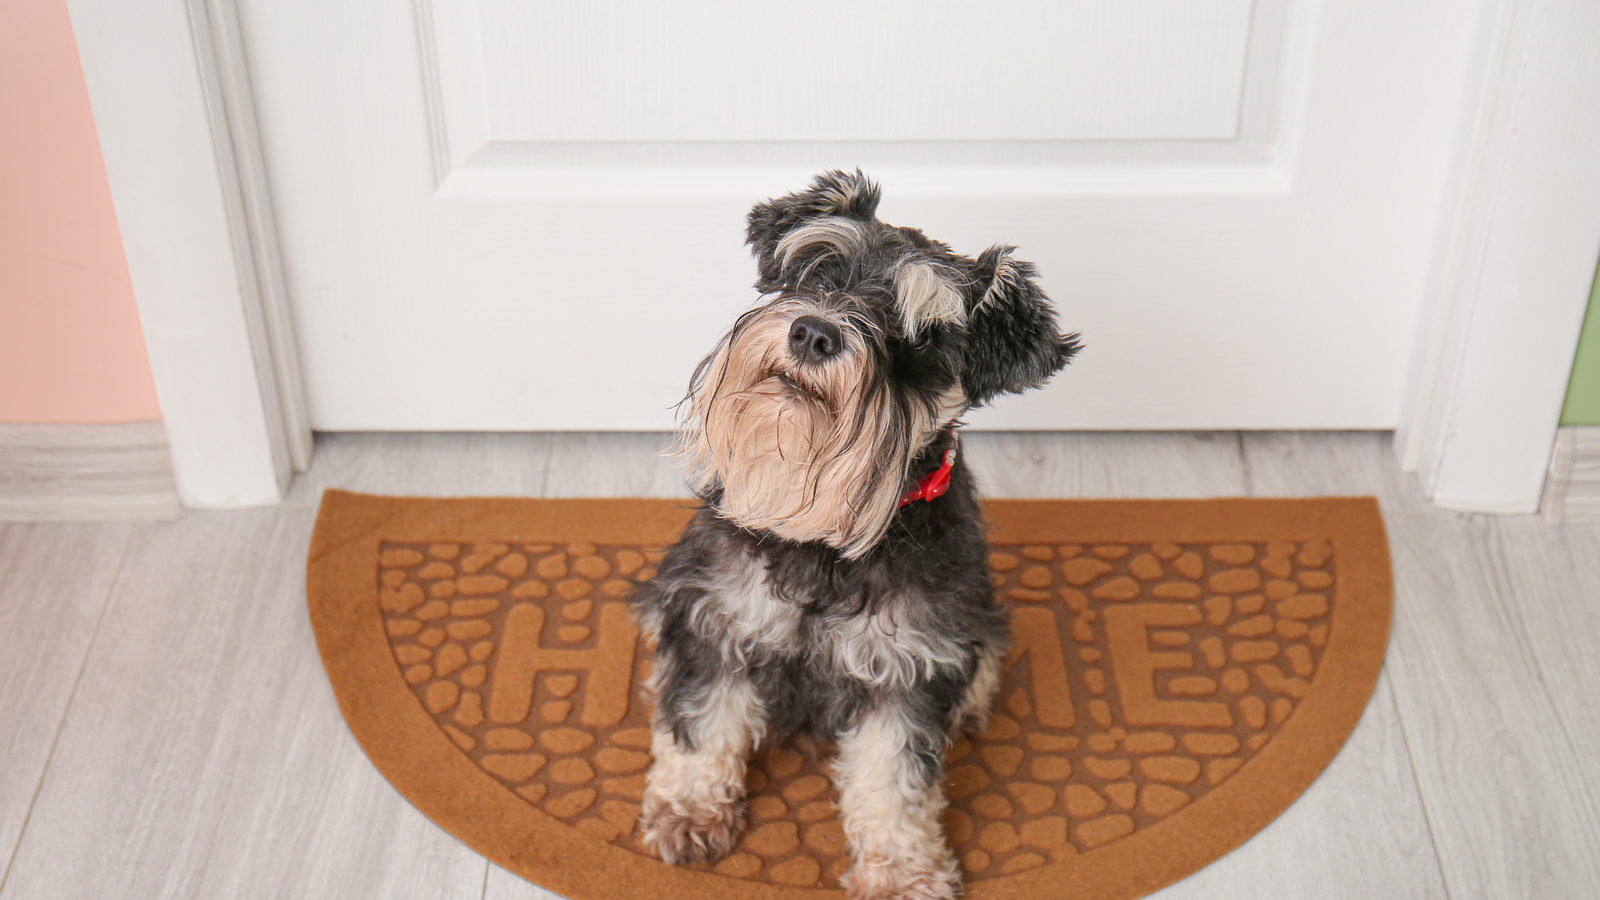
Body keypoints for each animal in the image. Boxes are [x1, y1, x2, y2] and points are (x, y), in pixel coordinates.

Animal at [630, 169, 1081, 896]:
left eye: (925, 336)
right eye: (819, 272)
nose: (814, 333)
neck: (825, 540)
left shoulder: (909, 670)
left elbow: (893, 780)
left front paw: (902, 871)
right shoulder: (716, 621)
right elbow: (702, 721)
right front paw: (689, 811)